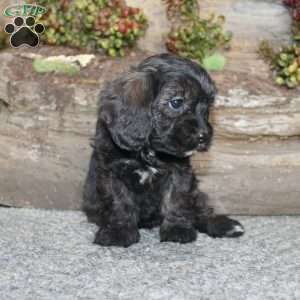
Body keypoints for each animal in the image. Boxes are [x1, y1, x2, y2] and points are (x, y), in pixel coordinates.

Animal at [82, 53, 244, 246]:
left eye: (208, 107)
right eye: (176, 102)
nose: (203, 136)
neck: (149, 148)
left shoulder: (179, 172)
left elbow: (176, 199)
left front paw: (177, 229)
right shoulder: (112, 171)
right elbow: (118, 201)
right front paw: (118, 231)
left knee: (200, 209)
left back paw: (224, 225)